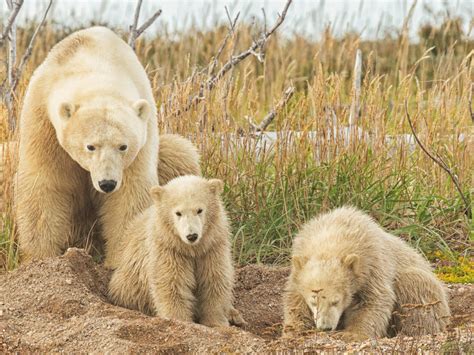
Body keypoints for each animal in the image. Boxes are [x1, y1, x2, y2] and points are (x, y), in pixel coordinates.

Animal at [16, 26, 200, 268]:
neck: (93, 59)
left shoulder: (141, 136)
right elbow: (45, 183)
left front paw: (119, 260)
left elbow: (129, 194)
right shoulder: (43, 121)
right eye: (90, 146)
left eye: (123, 146)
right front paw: (40, 260)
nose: (107, 183)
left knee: (179, 155)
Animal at [108, 175, 244, 328]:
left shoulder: (212, 247)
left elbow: (214, 279)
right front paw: (179, 320)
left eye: (199, 210)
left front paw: (216, 322)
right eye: (178, 213)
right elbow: (172, 283)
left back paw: (235, 315)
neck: (192, 249)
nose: (192, 235)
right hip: (127, 286)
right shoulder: (168, 249)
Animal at [284, 209, 450, 342]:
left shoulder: (372, 264)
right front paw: (295, 331)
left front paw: (351, 334)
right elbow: (294, 301)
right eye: (314, 301)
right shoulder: (298, 263)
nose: (326, 327)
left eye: (336, 301)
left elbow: (373, 300)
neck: (335, 233)